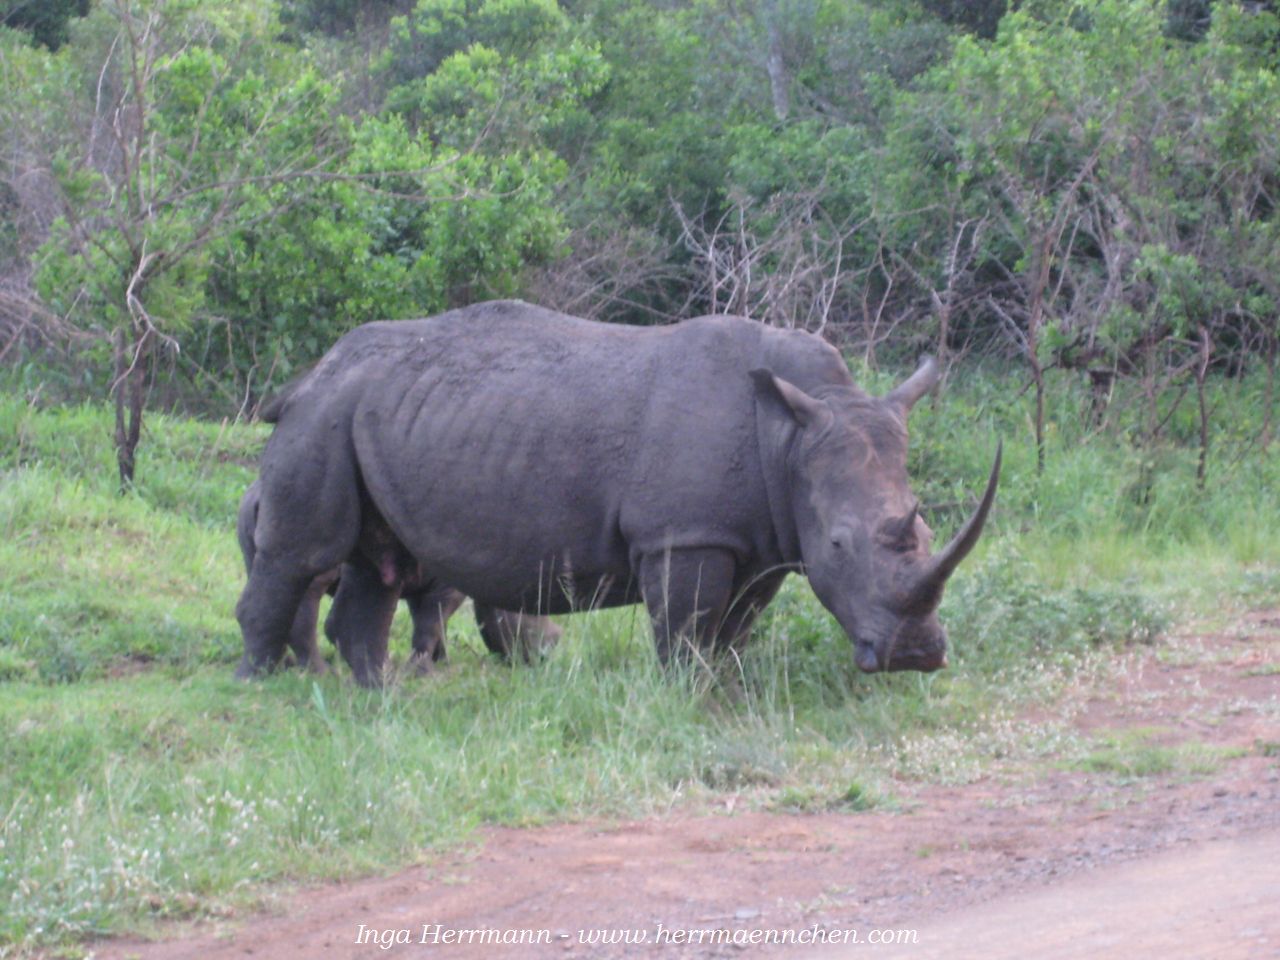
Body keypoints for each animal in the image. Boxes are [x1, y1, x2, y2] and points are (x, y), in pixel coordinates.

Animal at [236, 479, 561, 684]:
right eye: (535, 617)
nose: (551, 649)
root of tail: (257, 497)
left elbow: (430, 624)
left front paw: (440, 662)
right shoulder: (447, 588)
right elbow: (431, 623)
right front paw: (425, 673)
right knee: (308, 590)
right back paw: (320, 673)